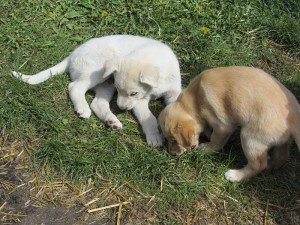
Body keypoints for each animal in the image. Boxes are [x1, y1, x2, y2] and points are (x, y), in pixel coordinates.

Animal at [11, 34, 182, 147]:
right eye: (123, 91)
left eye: (133, 93)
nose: (121, 108)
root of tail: (73, 54)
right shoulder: (140, 101)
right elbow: (149, 117)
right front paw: (155, 137)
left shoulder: (173, 92)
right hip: (97, 71)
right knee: (75, 87)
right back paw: (83, 109)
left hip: (106, 84)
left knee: (98, 103)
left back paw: (111, 121)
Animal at [158, 66, 298, 182]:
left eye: (174, 140)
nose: (172, 154)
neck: (196, 99)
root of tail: (294, 119)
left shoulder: (223, 126)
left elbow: (216, 140)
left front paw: (206, 149)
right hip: (278, 141)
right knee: (282, 155)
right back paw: (272, 165)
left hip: (250, 137)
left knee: (258, 164)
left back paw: (235, 176)